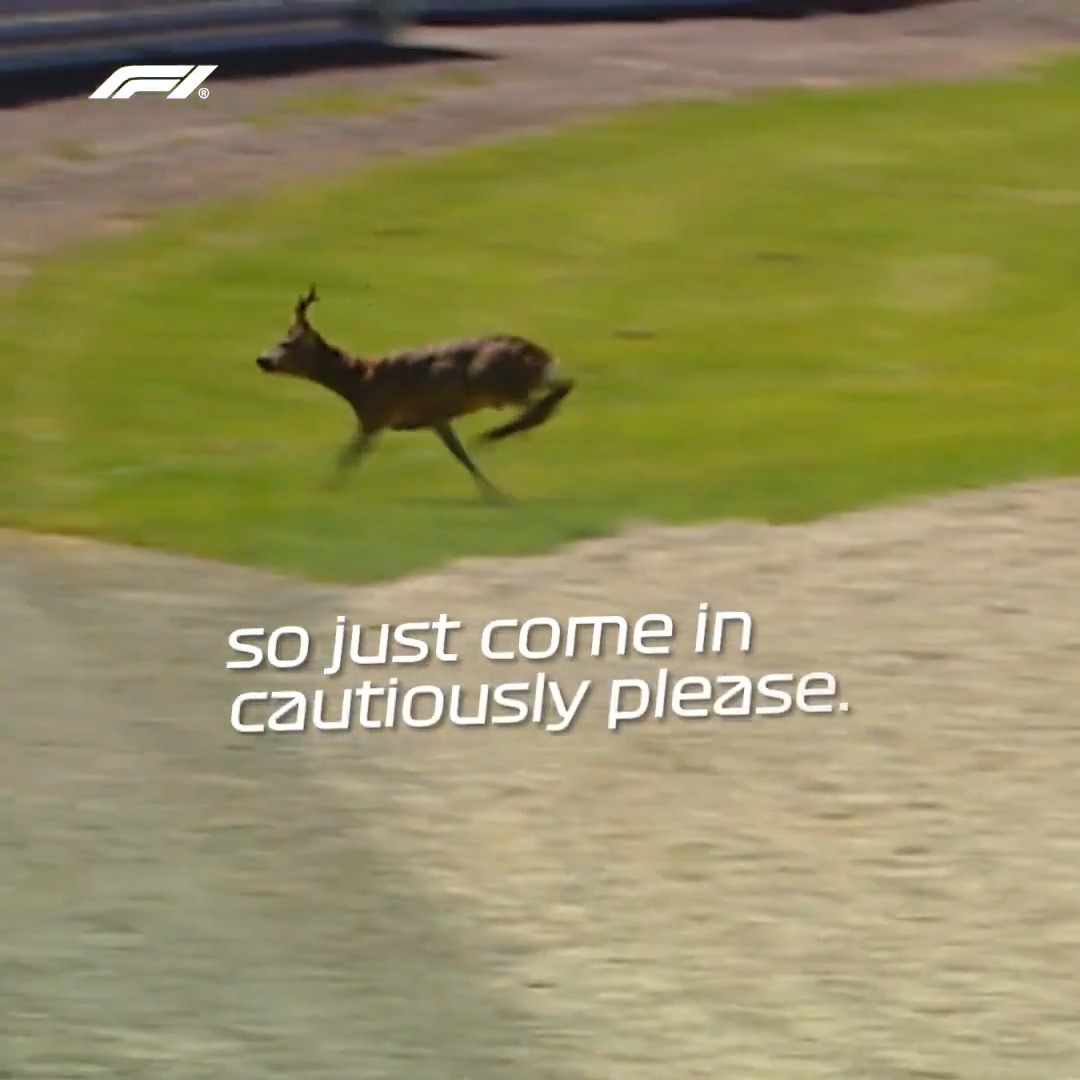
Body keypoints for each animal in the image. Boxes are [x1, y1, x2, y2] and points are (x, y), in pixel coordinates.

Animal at [255, 285, 574, 504]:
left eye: (286, 342)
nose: (262, 359)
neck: (358, 383)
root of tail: (542, 354)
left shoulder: (375, 417)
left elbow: (348, 455)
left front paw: (324, 489)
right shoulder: (435, 418)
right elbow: (461, 456)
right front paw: (494, 494)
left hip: (498, 383)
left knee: (546, 399)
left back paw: (491, 435)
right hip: (510, 386)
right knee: (558, 392)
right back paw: (497, 435)